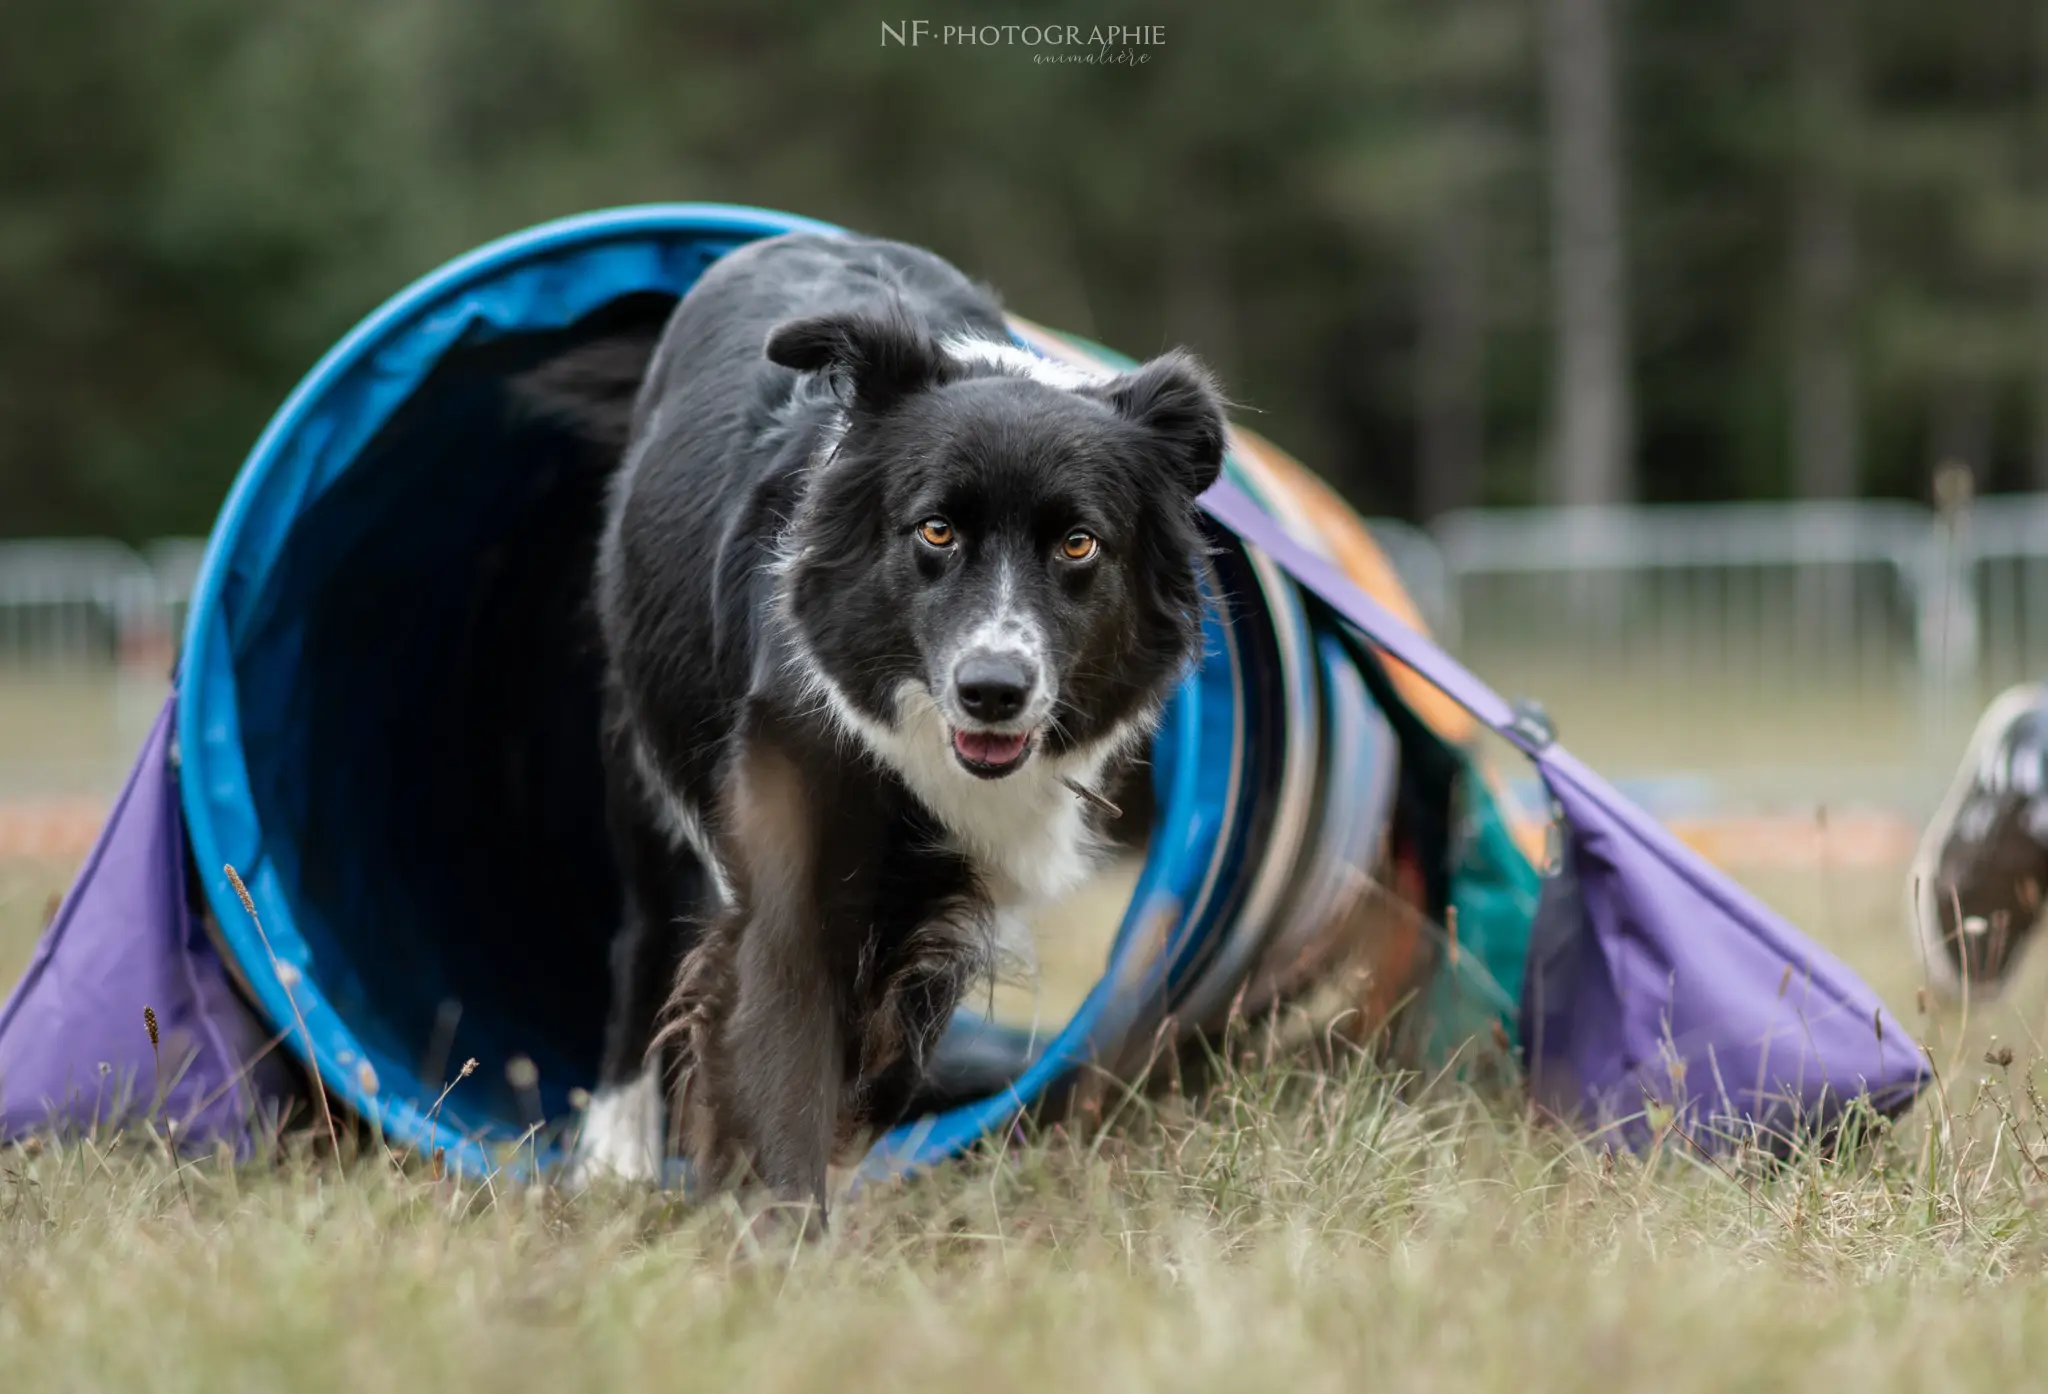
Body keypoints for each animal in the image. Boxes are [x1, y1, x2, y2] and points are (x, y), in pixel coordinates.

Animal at [569, 231, 1220, 1203]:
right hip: (638, 755)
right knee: (641, 937)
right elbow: (783, 1023)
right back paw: (614, 1158)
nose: (993, 690)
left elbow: (895, 1037)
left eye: (1079, 545)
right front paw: (779, 1212)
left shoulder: (965, 871)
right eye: (935, 531)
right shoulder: (786, 830)